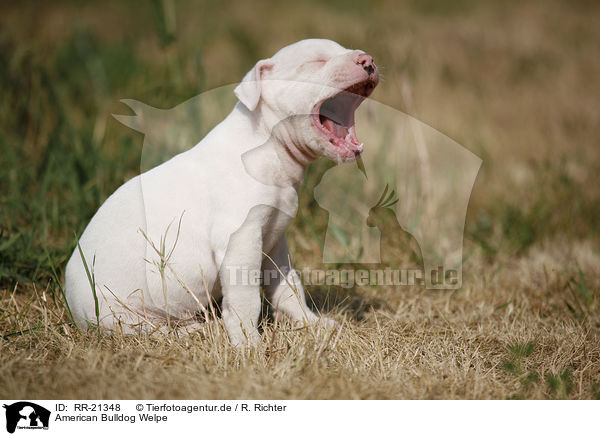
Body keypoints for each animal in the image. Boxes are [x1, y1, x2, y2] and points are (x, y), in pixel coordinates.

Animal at [64, 40, 376, 348]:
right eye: (316, 61)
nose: (368, 60)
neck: (267, 146)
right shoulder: (240, 238)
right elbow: (245, 299)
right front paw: (248, 343)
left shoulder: (275, 241)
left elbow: (288, 287)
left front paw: (314, 324)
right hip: (113, 313)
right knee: (147, 331)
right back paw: (194, 332)